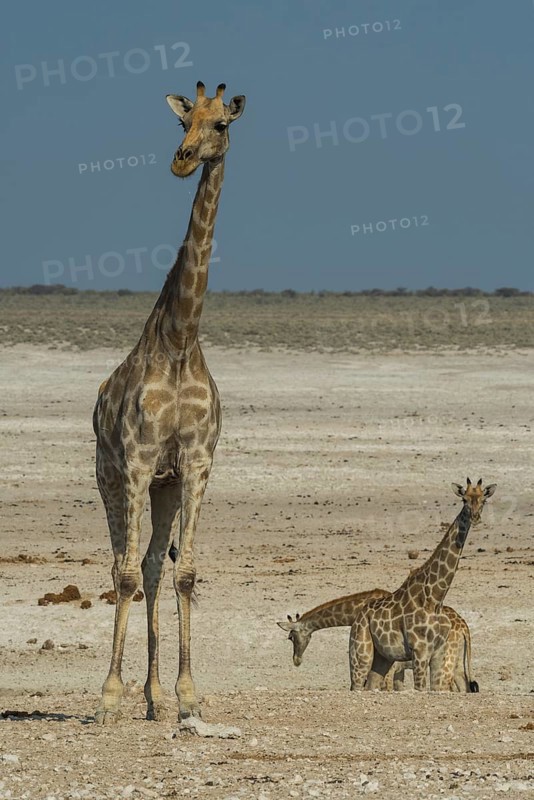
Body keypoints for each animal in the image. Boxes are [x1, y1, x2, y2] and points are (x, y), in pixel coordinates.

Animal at [278, 591, 478, 692]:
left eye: (290, 637)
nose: (296, 660)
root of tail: (464, 627)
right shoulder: (397, 670)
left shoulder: (391, 667)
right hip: (457, 663)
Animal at [348, 478, 496, 692]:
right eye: (464, 500)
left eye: (483, 500)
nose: (475, 517)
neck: (435, 597)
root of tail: (359, 617)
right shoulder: (419, 652)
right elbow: (419, 688)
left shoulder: (438, 654)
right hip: (361, 651)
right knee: (356, 684)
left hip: (383, 657)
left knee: (372, 683)